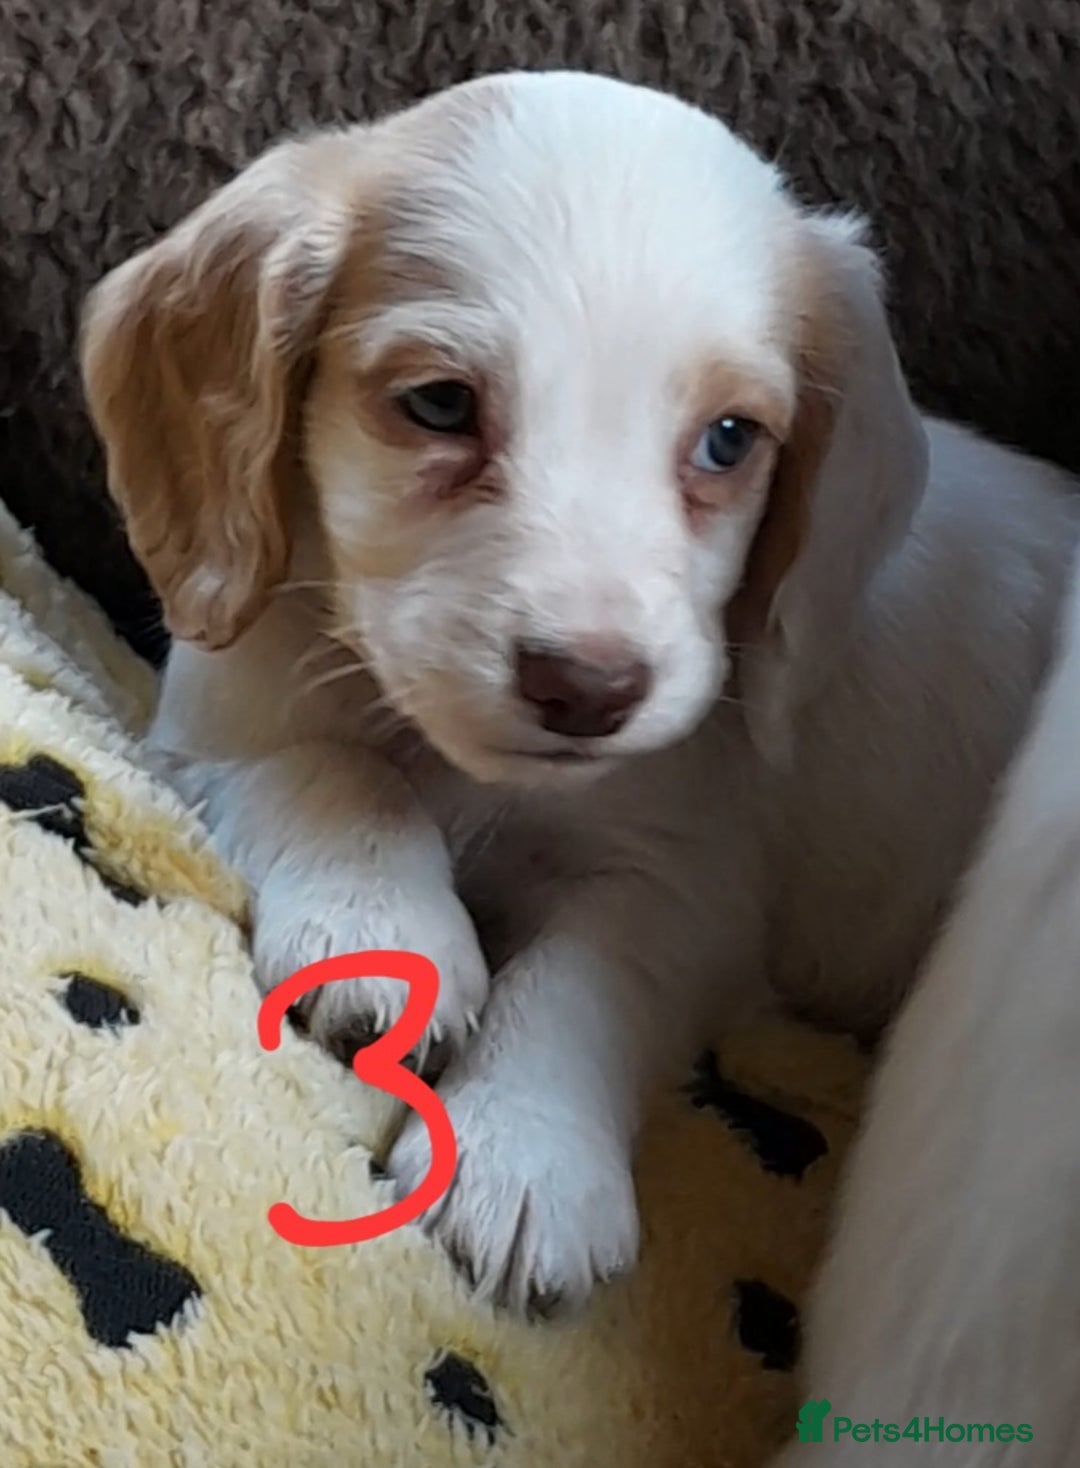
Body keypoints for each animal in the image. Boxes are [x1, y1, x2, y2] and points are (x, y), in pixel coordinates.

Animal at [80, 70, 1079, 1319]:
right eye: (441, 405)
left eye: (730, 439)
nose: (590, 686)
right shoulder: (225, 722)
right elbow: (336, 770)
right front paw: (382, 927)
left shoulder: (681, 888)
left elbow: (573, 984)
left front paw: (523, 1161)